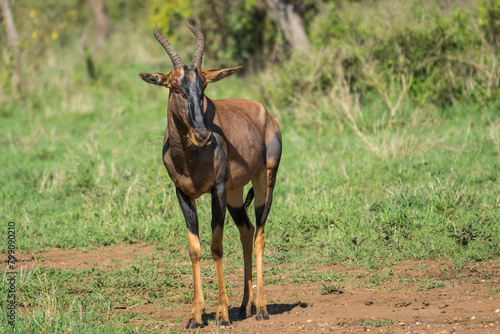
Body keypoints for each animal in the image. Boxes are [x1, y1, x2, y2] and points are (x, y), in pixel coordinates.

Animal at [138, 22, 282, 328]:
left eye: (203, 86)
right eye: (175, 87)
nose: (203, 135)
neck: (190, 158)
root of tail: (264, 112)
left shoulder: (216, 190)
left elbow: (216, 245)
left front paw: (221, 314)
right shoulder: (183, 194)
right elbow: (194, 248)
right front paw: (195, 316)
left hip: (265, 181)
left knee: (259, 235)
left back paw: (261, 308)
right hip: (235, 193)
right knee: (246, 230)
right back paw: (244, 307)